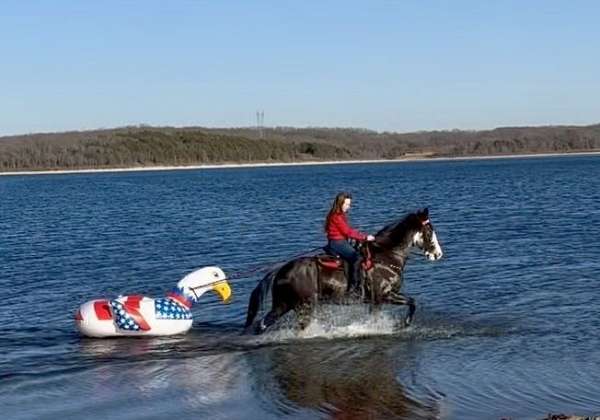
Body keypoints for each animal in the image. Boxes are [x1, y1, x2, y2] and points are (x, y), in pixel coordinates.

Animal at [245, 208, 446, 334]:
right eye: (429, 231)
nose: (438, 254)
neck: (386, 257)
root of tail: (280, 270)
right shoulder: (382, 297)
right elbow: (405, 306)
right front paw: (400, 325)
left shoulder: (386, 297)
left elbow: (412, 302)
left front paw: (404, 325)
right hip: (303, 306)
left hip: (283, 305)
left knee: (261, 325)